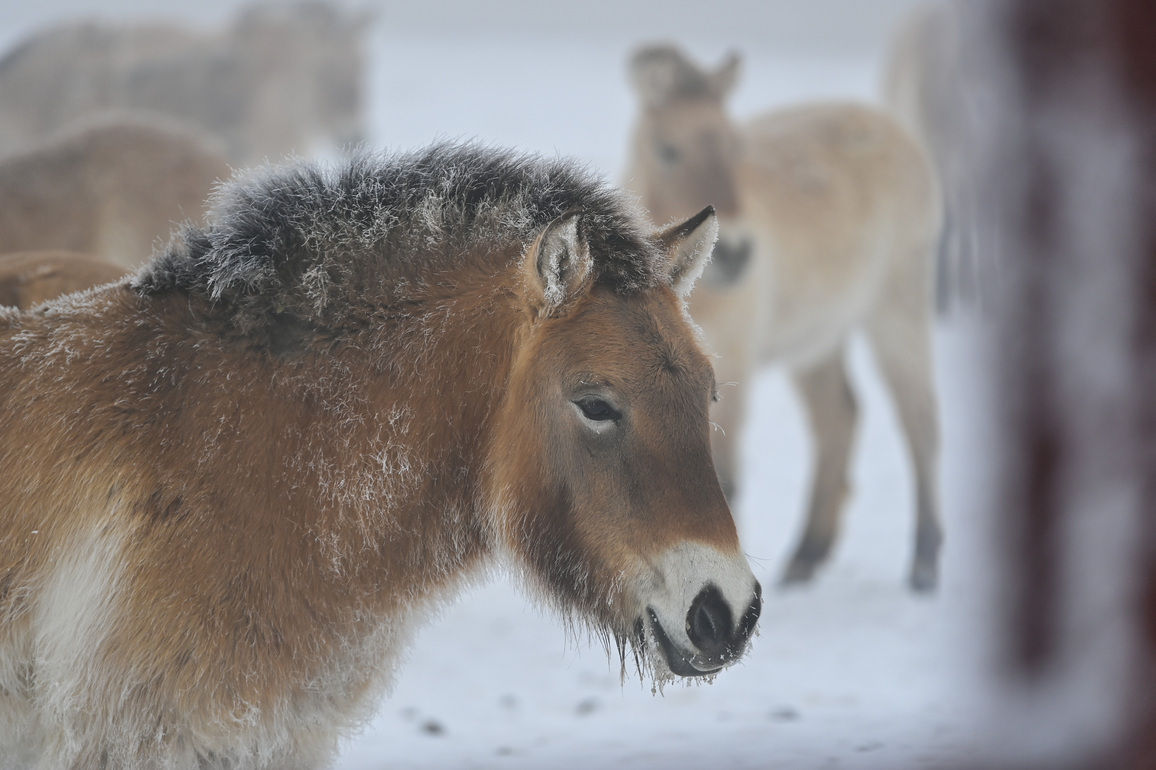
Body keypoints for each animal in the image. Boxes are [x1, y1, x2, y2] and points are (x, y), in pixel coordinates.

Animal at [624, 44, 943, 591]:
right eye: (667, 149)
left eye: (735, 146)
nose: (734, 253)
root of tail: (889, 126)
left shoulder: (731, 369)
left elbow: (724, 481)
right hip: (818, 340)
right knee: (840, 415)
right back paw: (807, 555)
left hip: (897, 306)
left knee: (918, 417)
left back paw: (924, 561)